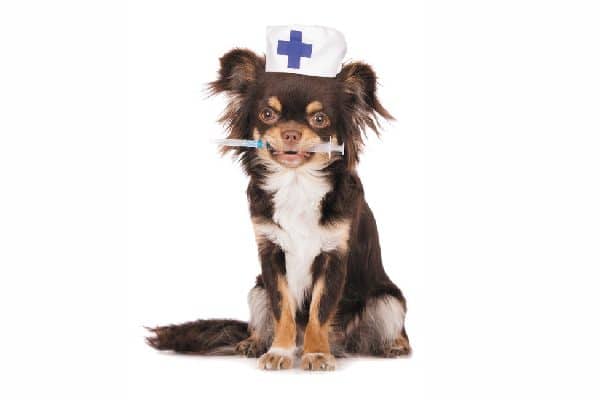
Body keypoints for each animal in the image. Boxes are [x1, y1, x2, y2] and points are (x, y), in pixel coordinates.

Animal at [146, 26, 410, 370]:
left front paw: (316, 352)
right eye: (268, 114)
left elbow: (319, 311)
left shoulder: (333, 258)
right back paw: (255, 341)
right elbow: (281, 307)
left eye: (320, 119)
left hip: (387, 300)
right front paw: (280, 351)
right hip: (256, 290)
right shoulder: (271, 255)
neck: (296, 183)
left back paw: (392, 345)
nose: (291, 133)